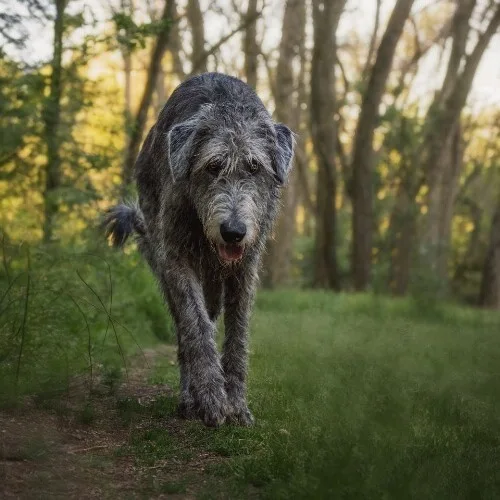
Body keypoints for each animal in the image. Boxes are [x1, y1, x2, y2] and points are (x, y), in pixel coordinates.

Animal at [104, 73, 294, 426]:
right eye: (213, 166)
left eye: (255, 167)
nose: (233, 232)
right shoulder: (177, 260)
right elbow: (196, 327)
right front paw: (210, 398)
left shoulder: (245, 271)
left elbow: (237, 337)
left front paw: (237, 404)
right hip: (162, 263)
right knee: (184, 332)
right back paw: (188, 398)